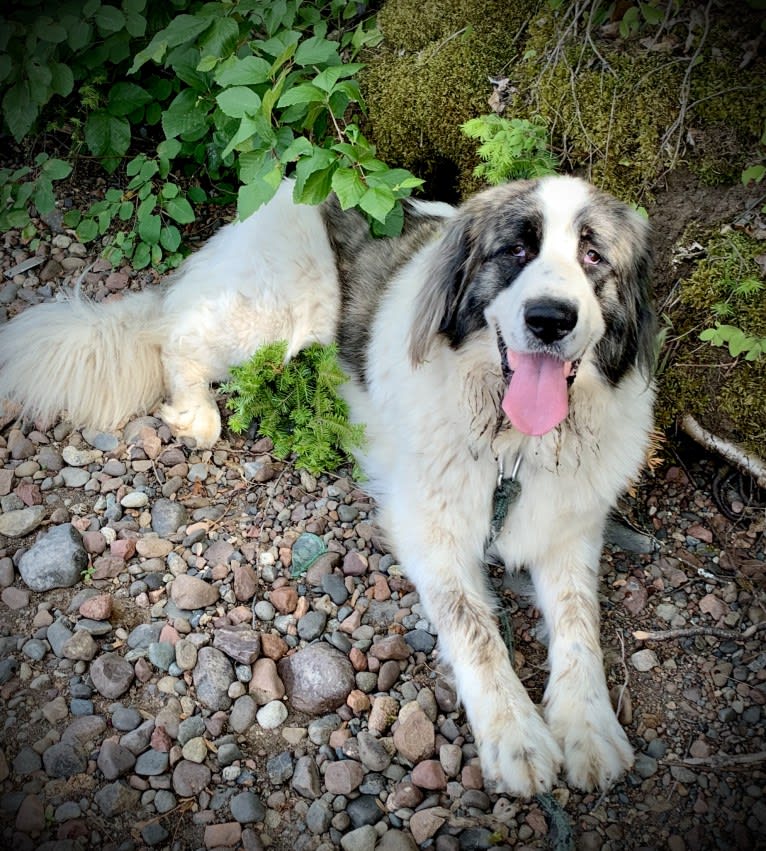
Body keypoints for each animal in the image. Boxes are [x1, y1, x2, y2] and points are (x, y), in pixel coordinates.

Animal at [1, 176, 660, 796]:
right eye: (517, 249)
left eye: (594, 256)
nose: (550, 318)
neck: (513, 449)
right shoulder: (430, 530)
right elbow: (474, 629)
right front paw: (516, 738)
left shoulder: (569, 532)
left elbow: (578, 622)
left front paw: (589, 729)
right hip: (267, 314)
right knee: (178, 338)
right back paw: (197, 414)